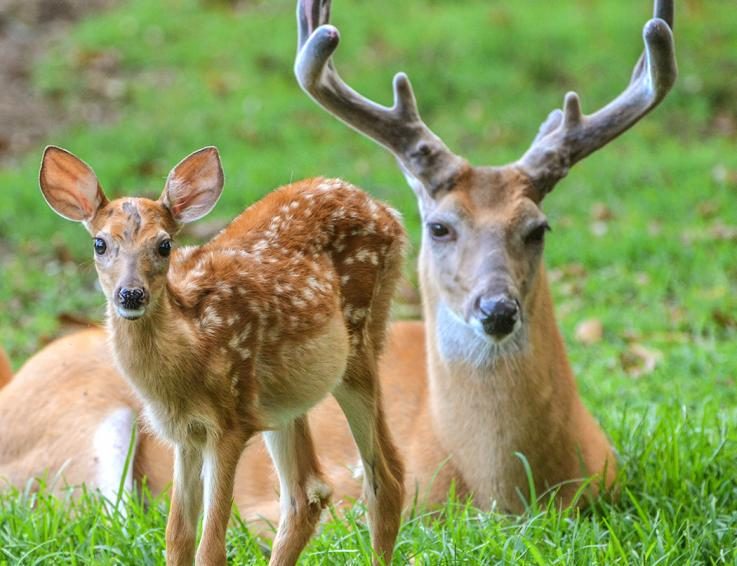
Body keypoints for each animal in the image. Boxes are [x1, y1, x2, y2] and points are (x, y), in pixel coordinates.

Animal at [37, 149, 406, 566]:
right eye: (99, 244)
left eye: (164, 245)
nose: (131, 294)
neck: (194, 346)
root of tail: (388, 211)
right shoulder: (185, 434)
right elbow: (177, 538)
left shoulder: (231, 423)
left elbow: (210, 547)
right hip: (285, 400)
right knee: (307, 493)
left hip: (357, 347)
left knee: (385, 481)